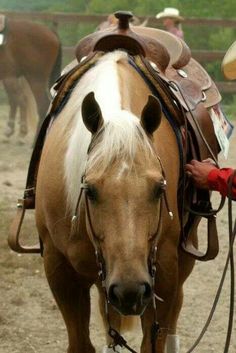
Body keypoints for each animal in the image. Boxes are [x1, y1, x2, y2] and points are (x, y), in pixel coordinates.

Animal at [35, 50, 195, 352]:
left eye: (159, 189)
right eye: (90, 191)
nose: (130, 291)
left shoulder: (163, 271)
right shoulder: (60, 270)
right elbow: (81, 342)